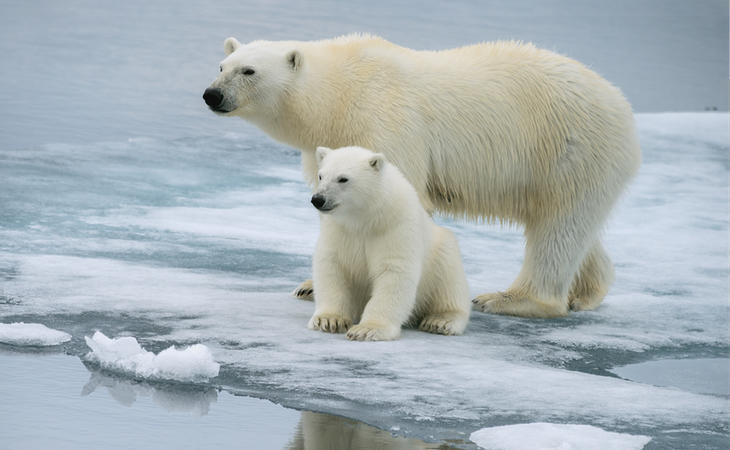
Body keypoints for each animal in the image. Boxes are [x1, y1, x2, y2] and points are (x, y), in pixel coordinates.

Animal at [203, 33, 636, 318]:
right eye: (222, 66)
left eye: (249, 70)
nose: (212, 94)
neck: (338, 95)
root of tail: (622, 104)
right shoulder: (326, 143)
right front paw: (309, 285)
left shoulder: (384, 120)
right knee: (571, 225)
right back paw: (586, 293)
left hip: (569, 146)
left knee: (559, 227)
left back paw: (509, 299)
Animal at [306, 145, 466, 342]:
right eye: (321, 175)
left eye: (343, 178)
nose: (318, 199)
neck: (365, 218)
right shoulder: (339, 229)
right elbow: (332, 265)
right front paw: (329, 320)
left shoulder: (395, 227)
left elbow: (394, 272)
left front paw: (367, 329)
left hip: (442, 253)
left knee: (449, 283)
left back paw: (440, 321)